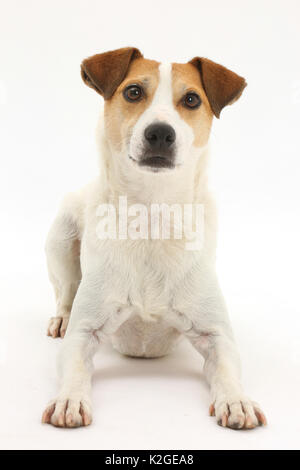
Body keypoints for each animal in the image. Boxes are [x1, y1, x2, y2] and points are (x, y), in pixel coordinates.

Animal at [41, 47, 266, 430]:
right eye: (133, 92)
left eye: (191, 99)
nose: (160, 133)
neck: (152, 216)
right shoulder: (84, 333)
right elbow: (74, 363)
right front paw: (69, 398)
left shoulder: (217, 334)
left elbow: (226, 366)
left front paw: (236, 400)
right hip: (61, 233)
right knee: (66, 291)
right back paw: (61, 317)